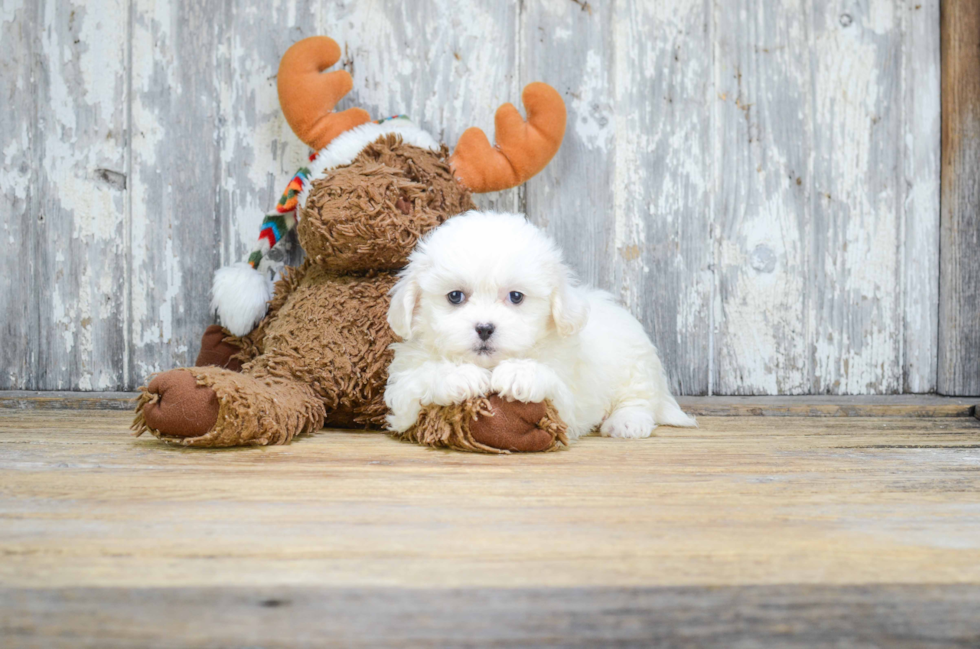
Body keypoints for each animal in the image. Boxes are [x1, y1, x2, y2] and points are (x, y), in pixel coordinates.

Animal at [382, 210, 696, 438]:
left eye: (516, 296)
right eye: (455, 296)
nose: (484, 328)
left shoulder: (568, 404)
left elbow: (551, 382)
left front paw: (520, 373)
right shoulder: (402, 403)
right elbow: (419, 380)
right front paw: (458, 375)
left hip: (636, 366)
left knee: (639, 400)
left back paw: (627, 423)